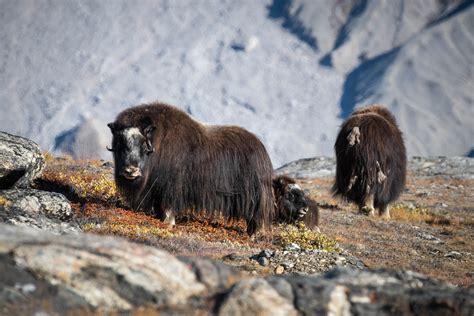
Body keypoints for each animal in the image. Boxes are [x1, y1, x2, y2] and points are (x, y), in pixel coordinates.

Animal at [105, 102, 272, 235]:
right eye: (121, 143)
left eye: (143, 144)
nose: (130, 170)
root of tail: (261, 149)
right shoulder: (157, 188)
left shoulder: (171, 186)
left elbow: (168, 205)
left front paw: (168, 223)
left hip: (252, 195)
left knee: (254, 215)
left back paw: (252, 234)